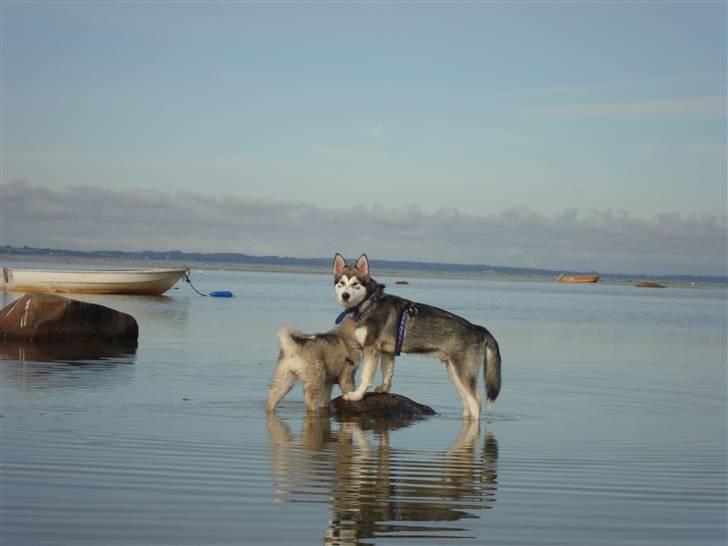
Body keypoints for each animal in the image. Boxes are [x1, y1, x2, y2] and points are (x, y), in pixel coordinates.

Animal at [334, 252, 500, 416]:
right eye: (341, 283)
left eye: (355, 284)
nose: (345, 295)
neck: (370, 303)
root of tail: (477, 328)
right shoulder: (388, 352)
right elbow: (387, 373)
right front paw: (383, 389)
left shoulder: (371, 349)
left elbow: (366, 376)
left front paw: (357, 395)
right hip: (454, 373)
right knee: (466, 402)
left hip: (463, 372)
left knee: (475, 402)